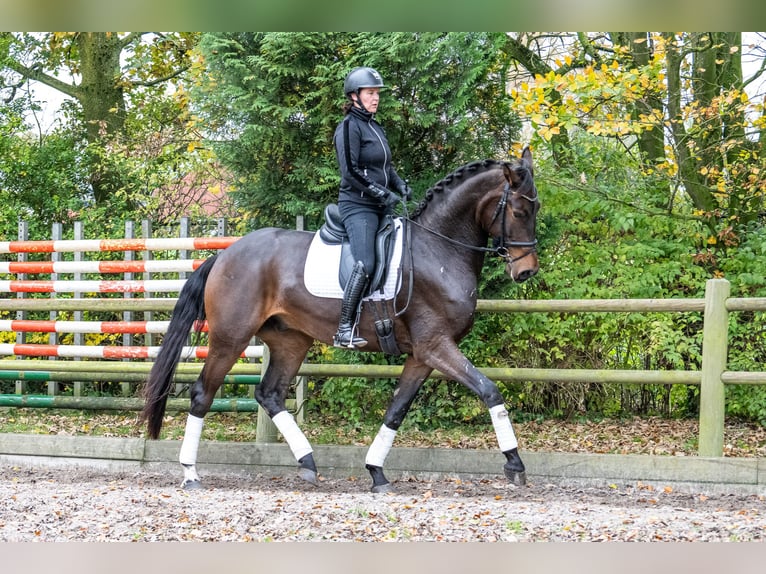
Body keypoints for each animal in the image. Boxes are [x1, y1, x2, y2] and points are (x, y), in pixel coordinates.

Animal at [142, 146, 540, 492]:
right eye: (520, 212)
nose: (526, 272)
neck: (437, 249)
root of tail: (225, 255)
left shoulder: (422, 355)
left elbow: (396, 410)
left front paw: (377, 473)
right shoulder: (436, 346)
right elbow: (489, 390)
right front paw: (515, 464)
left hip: (290, 340)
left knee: (270, 394)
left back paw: (308, 463)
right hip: (231, 337)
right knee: (202, 394)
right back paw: (190, 473)